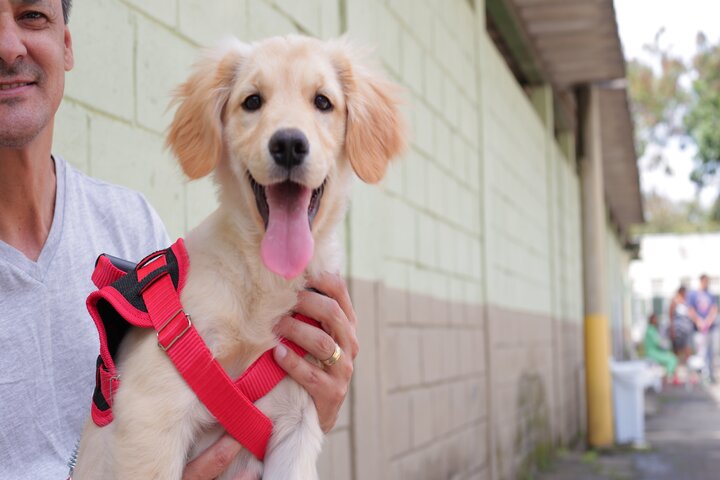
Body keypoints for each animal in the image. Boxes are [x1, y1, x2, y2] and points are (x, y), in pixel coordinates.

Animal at [76, 34, 408, 480]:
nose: (289, 145)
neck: (265, 281)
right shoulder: (152, 416)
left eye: (323, 102)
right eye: (252, 101)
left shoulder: (297, 429)